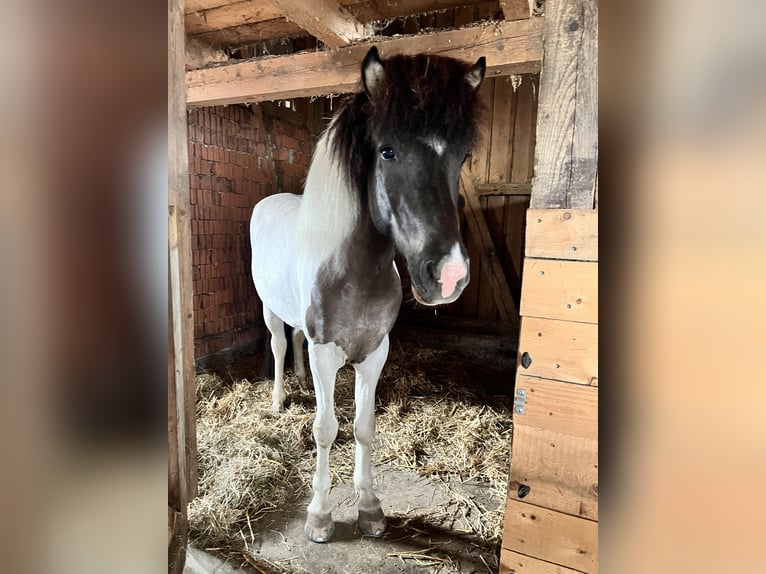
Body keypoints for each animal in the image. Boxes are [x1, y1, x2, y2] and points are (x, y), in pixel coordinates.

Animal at [249, 46, 485, 543]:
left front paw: (370, 508)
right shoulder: (325, 353)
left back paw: (298, 382)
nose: (450, 275)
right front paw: (319, 516)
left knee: (293, 340)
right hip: (269, 309)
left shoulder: (375, 353)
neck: (353, 272)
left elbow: (363, 426)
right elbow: (325, 429)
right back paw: (279, 398)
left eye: (462, 155)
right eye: (387, 150)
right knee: (279, 344)